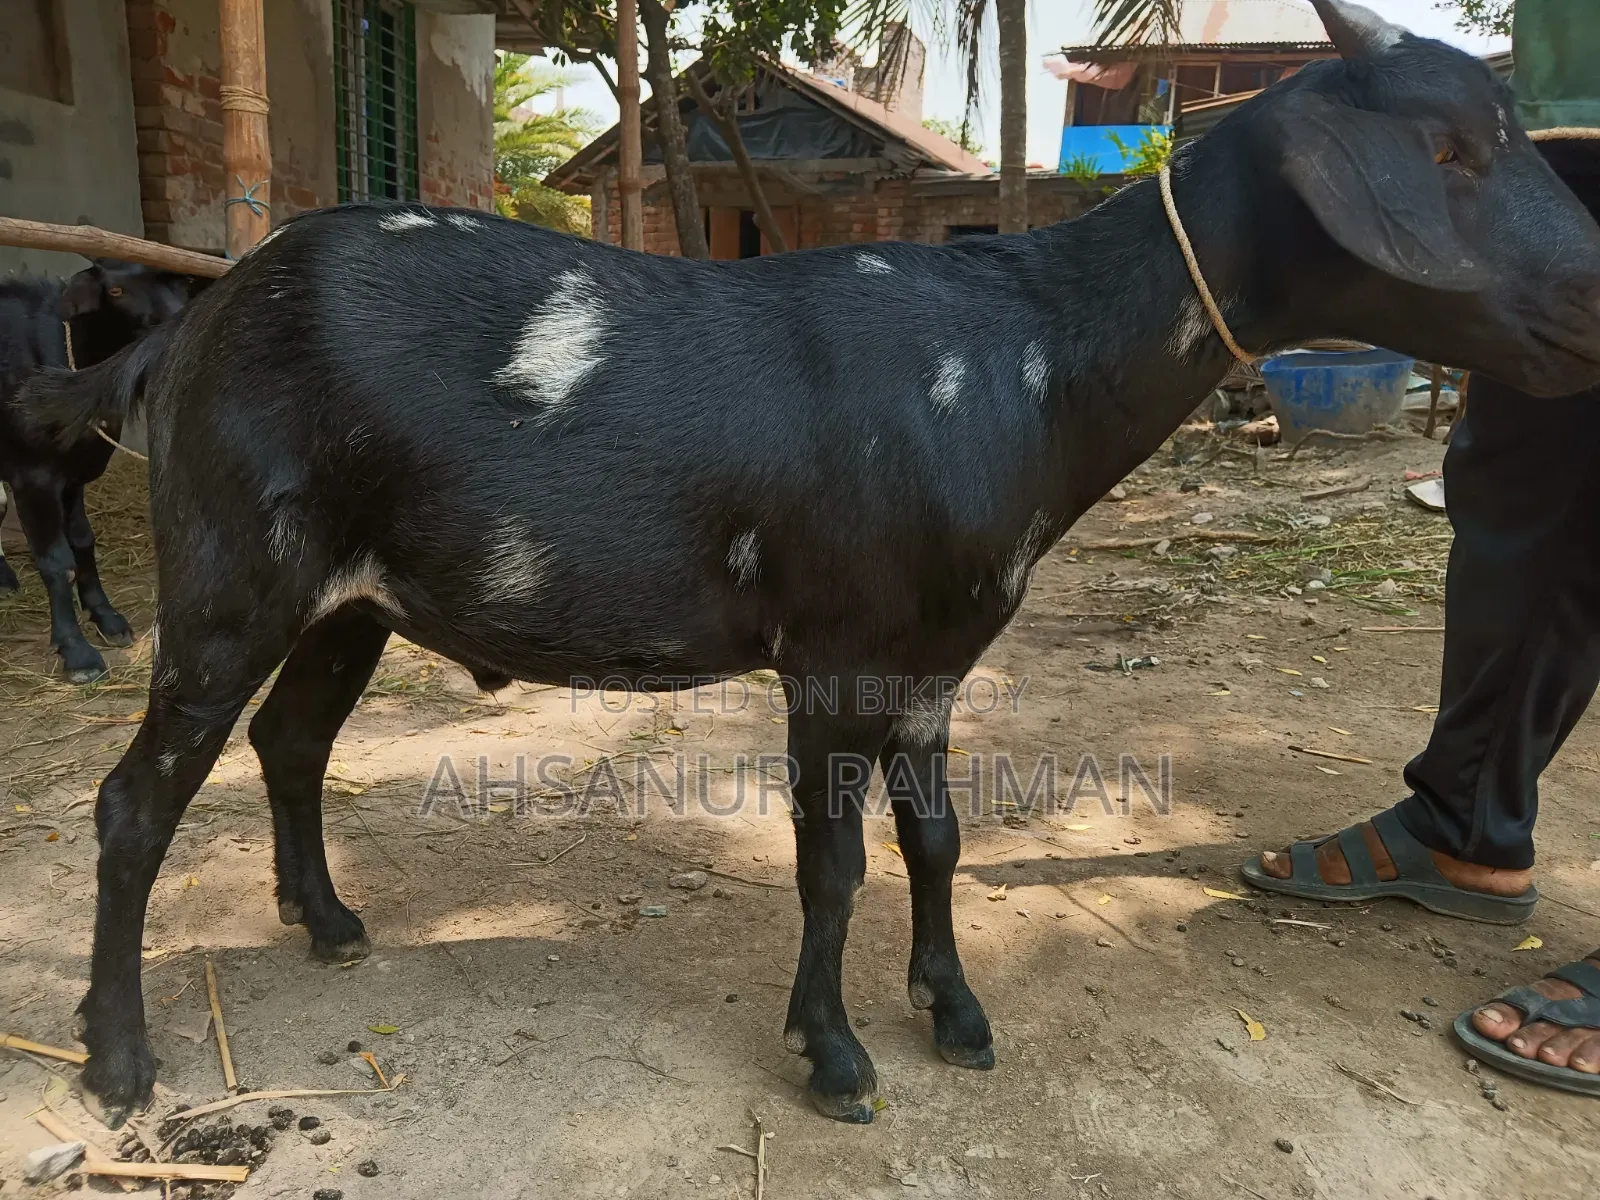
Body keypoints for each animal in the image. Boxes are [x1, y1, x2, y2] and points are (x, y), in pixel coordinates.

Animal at [0, 259, 204, 681]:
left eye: (180, 283)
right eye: (114, 291)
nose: (173, 330)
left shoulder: (74, 475)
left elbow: (82, 540)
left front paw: (106, 617)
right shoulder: (33, 477)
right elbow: (56, 560)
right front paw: (77, 652)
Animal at [37, 0, 1600, 1126]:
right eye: (1454, 150)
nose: (1595, 292)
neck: (1023, 362)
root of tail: (194, 322)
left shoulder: (934, 664)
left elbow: (939, 840)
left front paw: (956, 1015)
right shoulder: (834, 659)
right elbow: (832, 864)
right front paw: (836, 1055)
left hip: (348, 597)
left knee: (293, 743)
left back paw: (332, 924)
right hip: (234, 569)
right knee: (134, 802)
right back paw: (118, 1063)